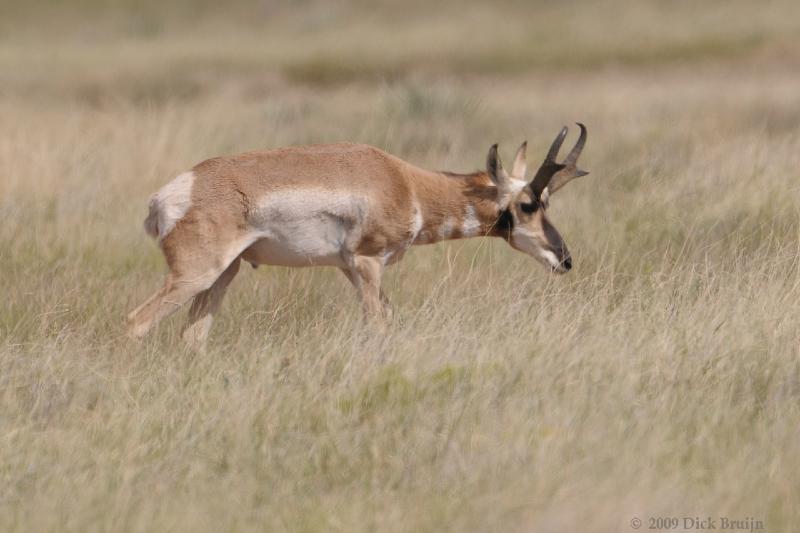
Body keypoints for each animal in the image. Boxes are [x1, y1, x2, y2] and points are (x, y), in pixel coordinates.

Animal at [125, 122, 588, 348]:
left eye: (548, 201)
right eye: (528, 205)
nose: (565, 259)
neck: (403, 181)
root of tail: (172, 192)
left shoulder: (351, 268)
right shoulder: (367, 263)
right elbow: (378, 326)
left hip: (224, 275)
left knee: (192, 337)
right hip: (197, 275)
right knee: (136, 321)